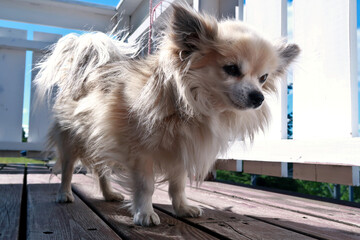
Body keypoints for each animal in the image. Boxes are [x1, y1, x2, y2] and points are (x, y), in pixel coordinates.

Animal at [34, 2, 298, 226]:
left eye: (263, 78)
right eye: (231, 69)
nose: (258, 97)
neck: (193, 105)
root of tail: (87, 72)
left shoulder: (180, 152)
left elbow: (177, 186)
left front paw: (182, 208)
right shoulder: (141, 153)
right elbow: (146, 186)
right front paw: (145, 213)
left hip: (99, 138)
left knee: (101, 170)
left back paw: (109, 194)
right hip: (71, 140)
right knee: (67, 169)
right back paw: (64, 194)